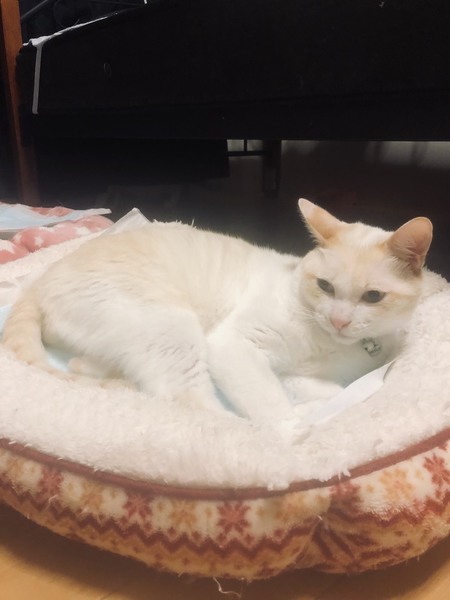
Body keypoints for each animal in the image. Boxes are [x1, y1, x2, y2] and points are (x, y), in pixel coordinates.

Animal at [2, 199, 432, 430]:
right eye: (325, 286)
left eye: (373, 296)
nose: (340, 320)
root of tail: (38, 282)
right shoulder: (234, 346)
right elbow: (272, 406)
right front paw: (293, 428)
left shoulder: (301, 374)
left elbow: (335, 388)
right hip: (172, 329)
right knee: (198, 408)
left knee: (91, 366)